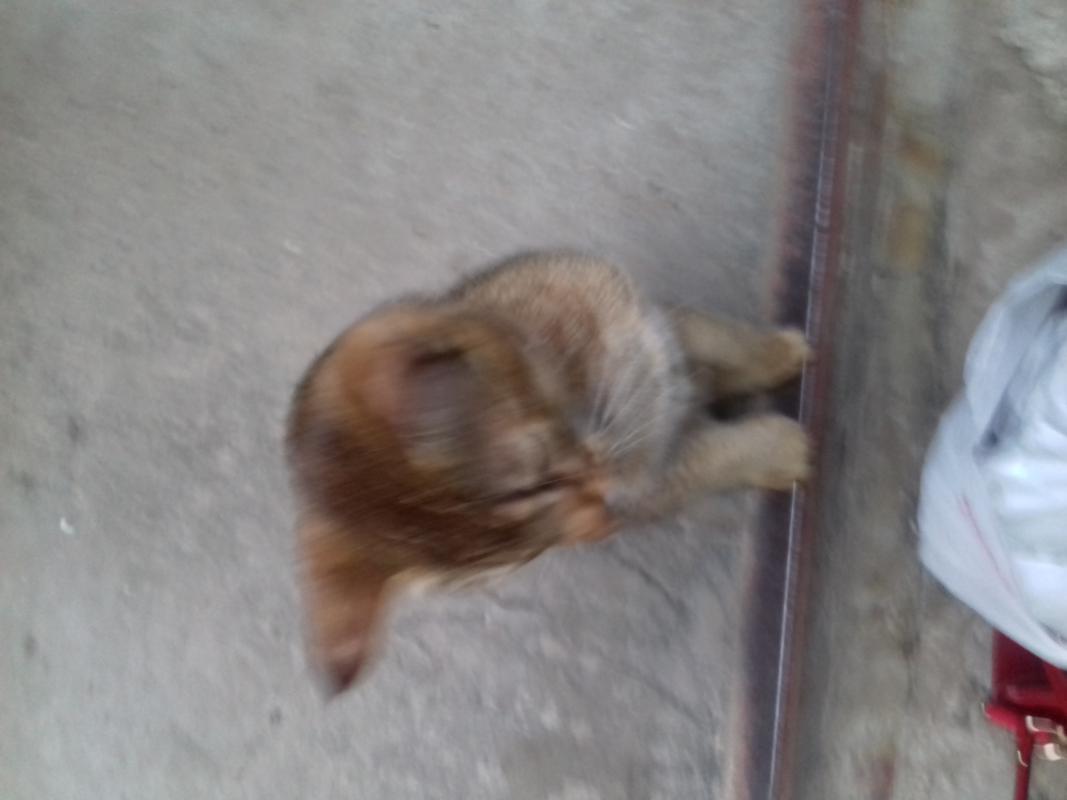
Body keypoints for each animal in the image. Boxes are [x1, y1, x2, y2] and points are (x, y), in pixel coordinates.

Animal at [286, 252, 810, 693]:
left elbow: (722, 339)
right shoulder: (650, 483)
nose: (604, 526)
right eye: (524, 557)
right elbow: (711, 456)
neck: (576, 372)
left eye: (544, 472)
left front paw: (779, 352)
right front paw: (778, 448)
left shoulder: (659, 322)